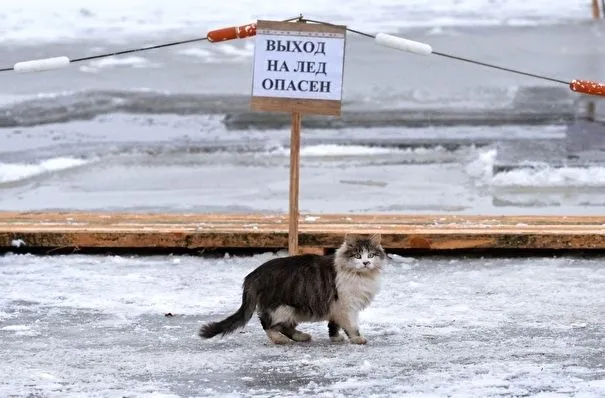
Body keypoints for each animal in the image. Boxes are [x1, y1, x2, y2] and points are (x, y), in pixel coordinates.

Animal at [198, 235, 386, 344]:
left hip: (292, 310)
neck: (361, 276)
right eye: (357, 256)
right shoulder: (347, 306)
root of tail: (253, 274)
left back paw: (301, 336)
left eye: (371, 255)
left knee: (283, 327)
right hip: (281, 307)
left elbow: (333, 324)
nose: (366, 262)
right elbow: (352, 326)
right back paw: (281, 340)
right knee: (267, 324)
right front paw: (357, 338)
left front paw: (335, 338)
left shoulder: (336, 307)